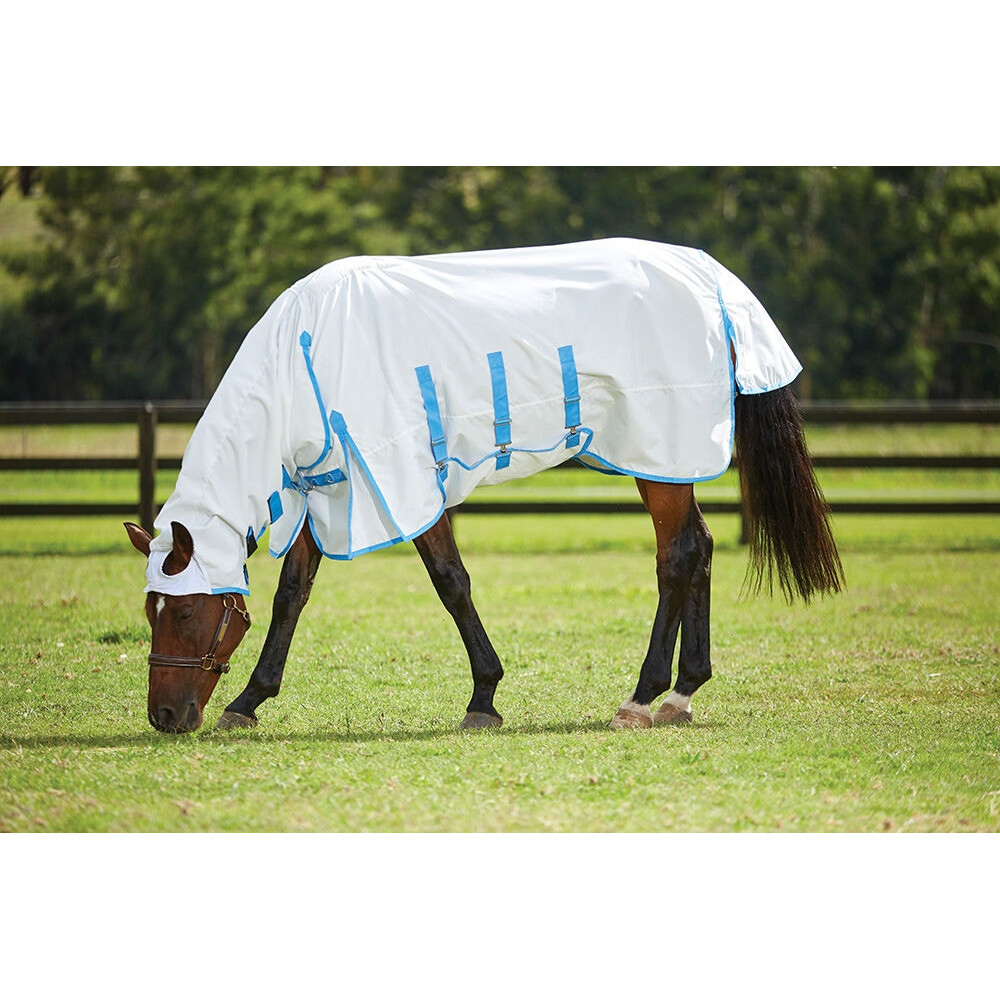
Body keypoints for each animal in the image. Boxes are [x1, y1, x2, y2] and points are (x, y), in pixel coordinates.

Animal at [124, 238, 843, 734]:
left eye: (184, 612)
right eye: (151, 611)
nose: (164, 716)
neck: (307, 358)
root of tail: (709, 276)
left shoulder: (402, 483)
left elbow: (451, 583)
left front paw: (483, 698)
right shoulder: (326, 487)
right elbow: (291, 596)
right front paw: (248, 701)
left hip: (656, 453)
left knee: (679, 556)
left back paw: (641, 699)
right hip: (664, 461)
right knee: (700, 549)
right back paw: (683, 692)